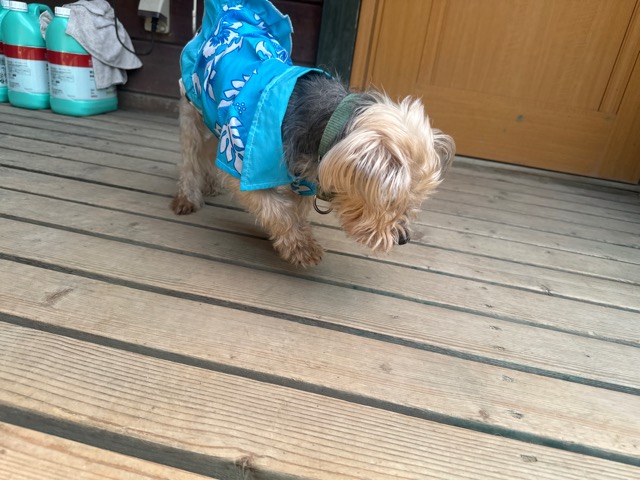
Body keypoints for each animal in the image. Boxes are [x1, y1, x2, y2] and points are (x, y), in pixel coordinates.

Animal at [171, 0, 455, 267]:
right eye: (392, 201)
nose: (404, 238)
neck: (327, 125)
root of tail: (228, 12)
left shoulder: (303, 181)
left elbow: (294, 208)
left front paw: (293, 237)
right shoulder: (244, 165)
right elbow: (276, 209)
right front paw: (301, 246)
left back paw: (209, 184)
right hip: (192, 105)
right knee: (190, 155)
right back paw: (187, 196)